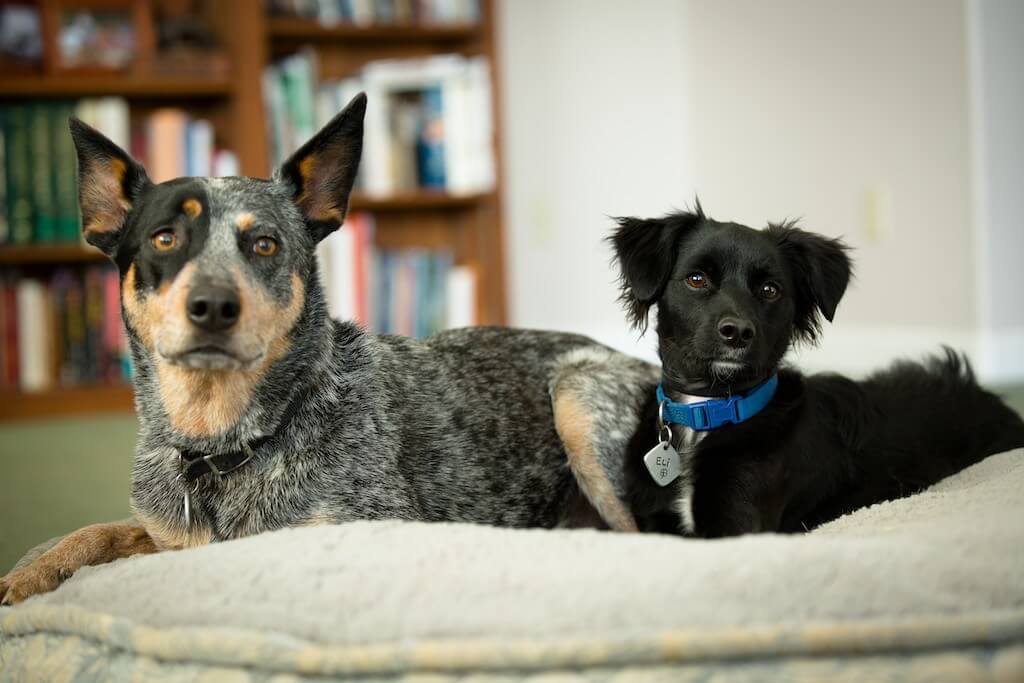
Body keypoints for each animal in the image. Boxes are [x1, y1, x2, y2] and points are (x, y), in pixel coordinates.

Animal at [557, 205, 1024, 536]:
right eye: (696, 279)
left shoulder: (737, 527)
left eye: (770, 289)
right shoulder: (651, 522)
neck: (706, 413)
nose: (737, 332)